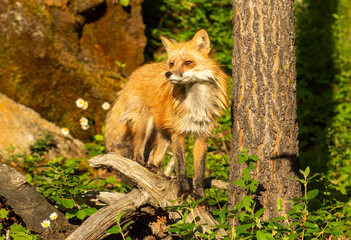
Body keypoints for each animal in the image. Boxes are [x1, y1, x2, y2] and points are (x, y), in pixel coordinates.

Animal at [104, 29, 230, 199]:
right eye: (172, 63)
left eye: (188, 62)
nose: (168, 74)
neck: (196, 102)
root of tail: (136, 72)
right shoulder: (178, 133)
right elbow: (181, 165)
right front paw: (183, 190)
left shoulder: (202, 137)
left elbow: (199, 171)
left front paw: (199, 195)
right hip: (146, 125)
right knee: (137, 154)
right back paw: (144, 167)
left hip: (164, 134)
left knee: (155, 159)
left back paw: (160, 174)